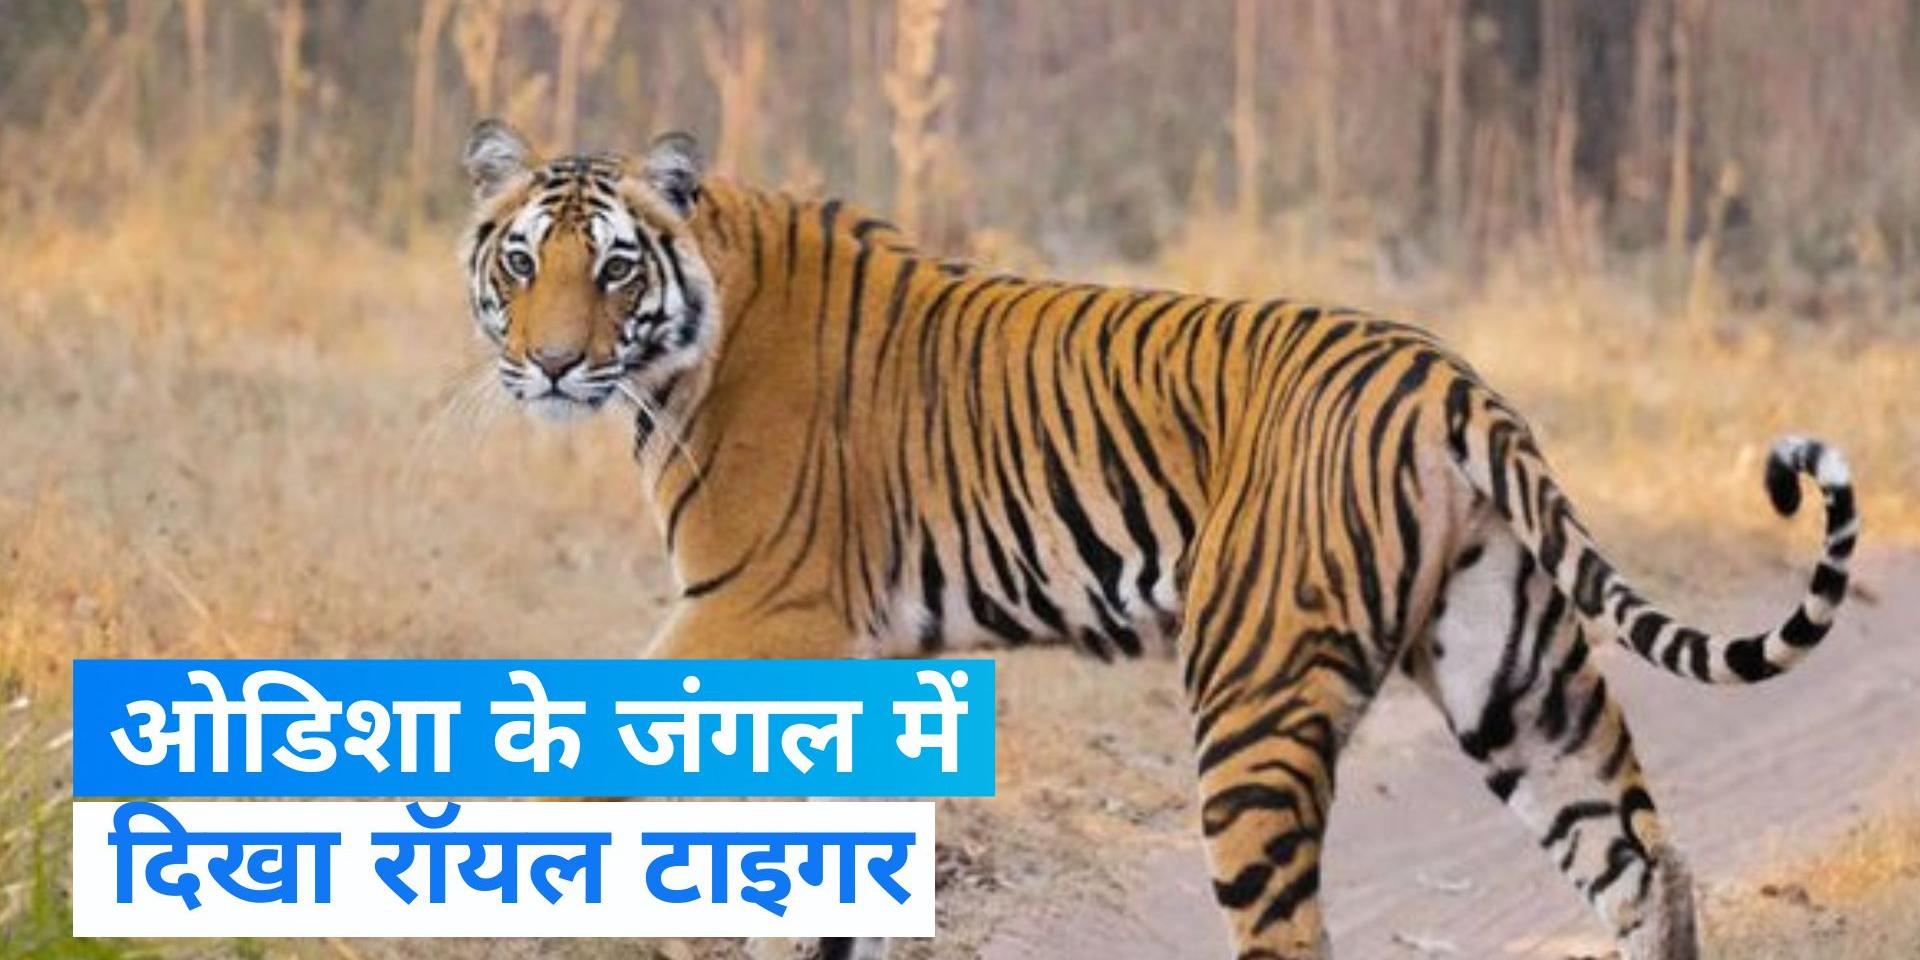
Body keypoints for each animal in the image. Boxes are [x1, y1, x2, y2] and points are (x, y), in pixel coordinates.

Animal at [457, 118, 1859, 960]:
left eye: (615, 270)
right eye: (522, 264)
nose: (551, 364)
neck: (688, 347)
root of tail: (1444, 375)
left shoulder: (754, 609)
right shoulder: (860, 651)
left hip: (1253, 696)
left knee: (1296, 934)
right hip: (1512, 674)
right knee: (1645, 864)